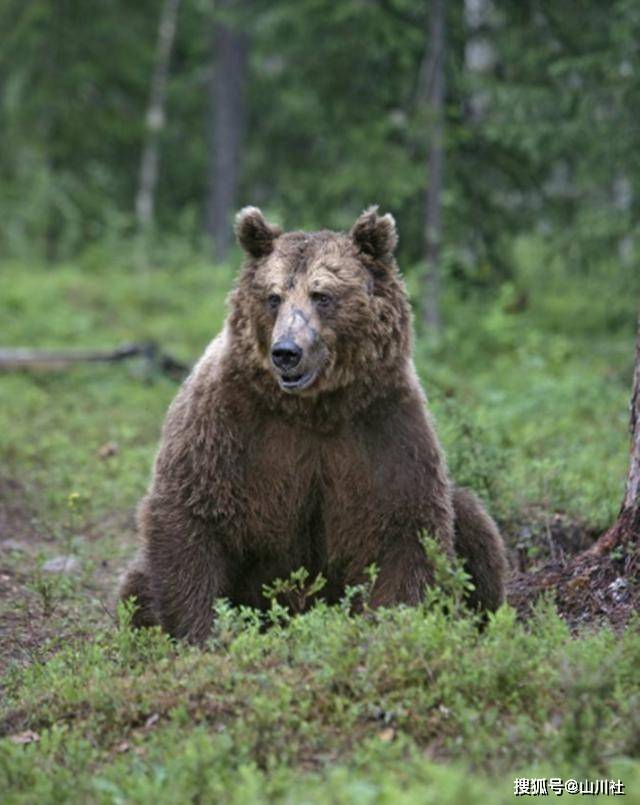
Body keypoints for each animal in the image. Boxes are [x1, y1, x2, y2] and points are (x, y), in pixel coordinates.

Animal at [120, 206, 508, 640]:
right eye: (273, 297)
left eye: (322, 295)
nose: (286, 352)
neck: (313, 409)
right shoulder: (227, 424)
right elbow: (191, 514)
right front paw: (202, 631)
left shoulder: (382, 428)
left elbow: (405, 530)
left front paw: (391, 627)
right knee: (136, 585)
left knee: (475, 526)